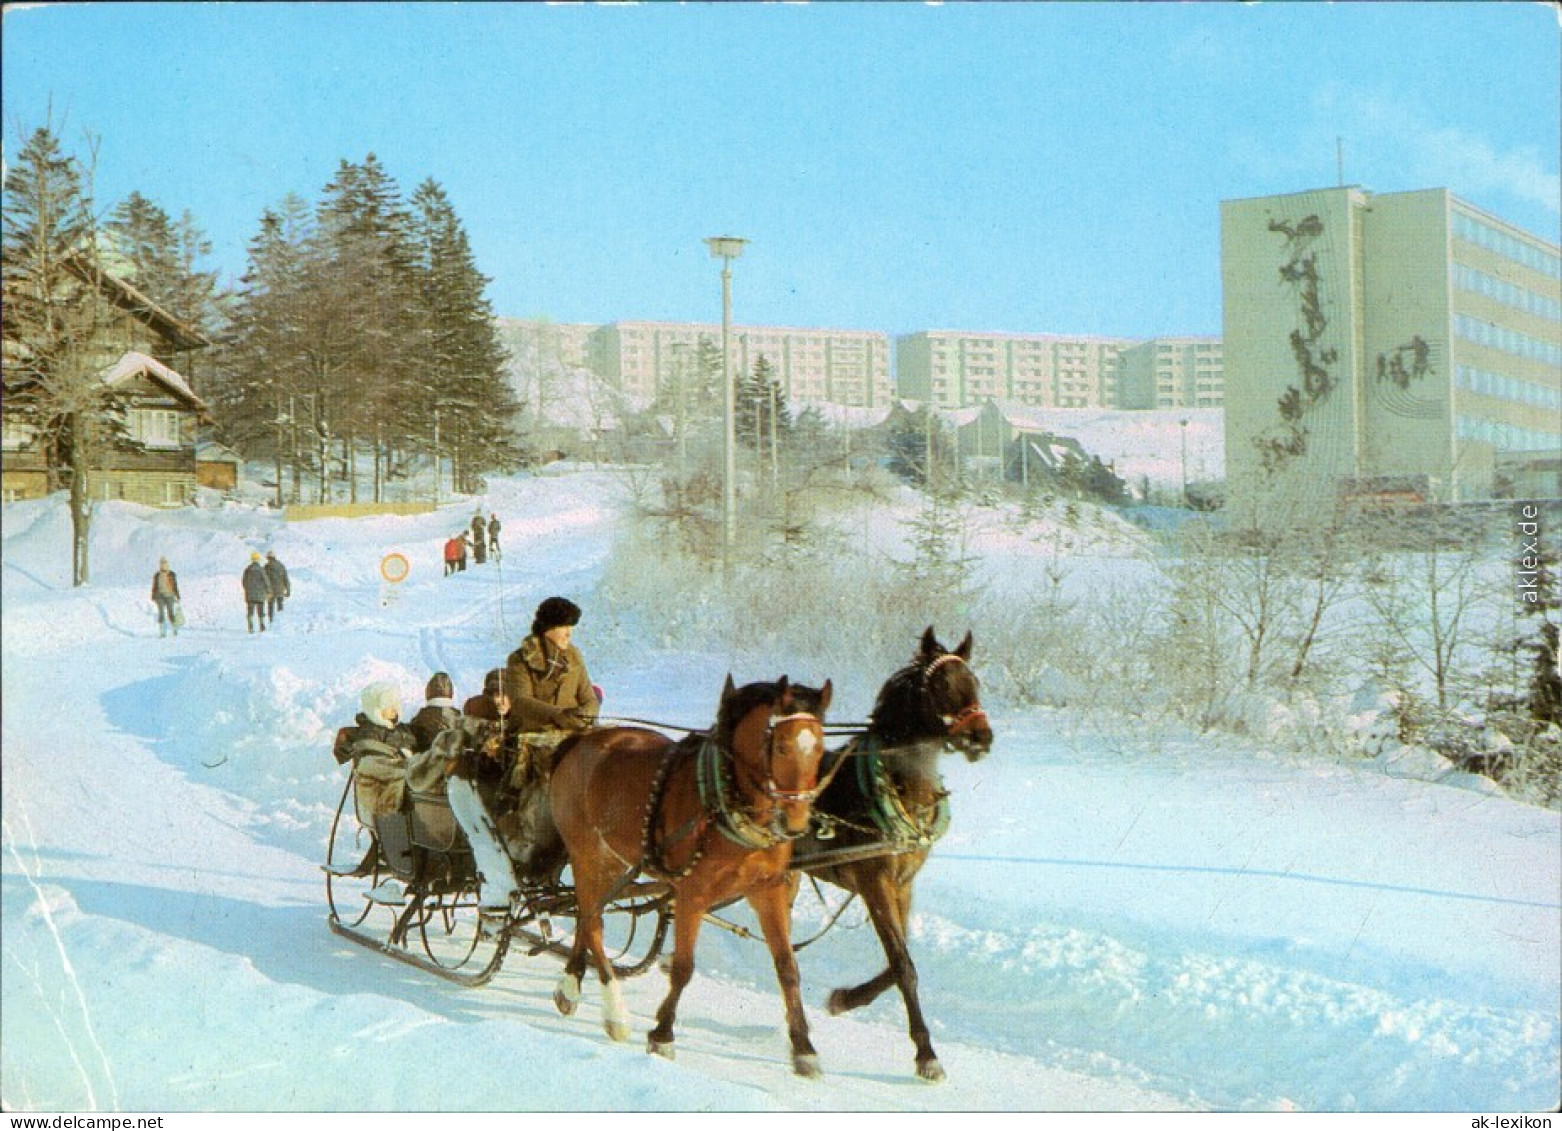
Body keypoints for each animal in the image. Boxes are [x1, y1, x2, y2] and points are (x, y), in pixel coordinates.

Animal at [556, 671, 837, 1081]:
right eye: (783, 746)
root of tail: (580, 741)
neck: (728, 802)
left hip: (612, 864)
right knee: (592, 923)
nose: (795, 823)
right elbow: (684, 968)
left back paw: (570, 986)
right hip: (587, 855)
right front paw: (662, 1034)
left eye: (819, 749)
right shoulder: (692, 893)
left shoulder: (767, 890)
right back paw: (616, 1014)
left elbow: (788, 969)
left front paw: (804, 1049)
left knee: (585, 916)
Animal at [799, 631, 993, 1081]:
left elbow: (900, 962)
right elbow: (904, 966)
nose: (982, 737)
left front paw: (843, 999)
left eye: (975, 681)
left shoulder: (902, 885)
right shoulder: (875, 881)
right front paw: (926, 1054)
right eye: (942, 685)